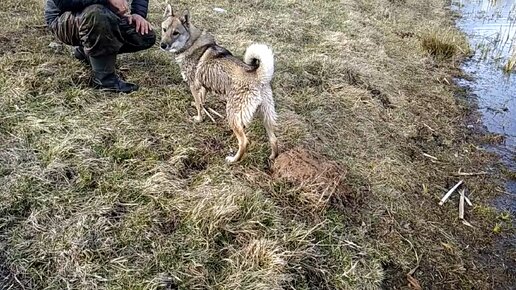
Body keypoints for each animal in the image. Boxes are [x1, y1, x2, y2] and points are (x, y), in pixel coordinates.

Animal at [160, 5, 278, 163]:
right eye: (164, 29)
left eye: (175, 33)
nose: (162, 45)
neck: (191, 42)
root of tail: (258, 76)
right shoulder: (204, 86)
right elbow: (201, 101)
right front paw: (201, 107)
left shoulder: (193, 85)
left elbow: (199, 106)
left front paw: (199, 119)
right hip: (266, 115)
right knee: (274, 139)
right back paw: (272, 157)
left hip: (233, 116)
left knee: (244, 142)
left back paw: (233, 159)